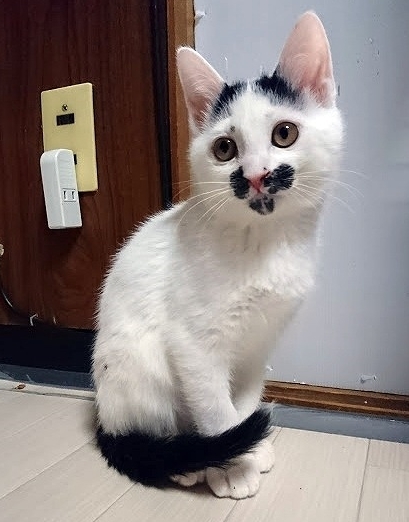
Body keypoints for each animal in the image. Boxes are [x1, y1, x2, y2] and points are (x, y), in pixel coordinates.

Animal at [92, 11, 343, 499]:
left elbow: (242, 404)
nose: (257, 175)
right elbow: (215, 411)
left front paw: (250, 449)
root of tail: (104, 416)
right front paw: (234, 468)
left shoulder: (258, 344)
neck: (264, 244)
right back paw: (187, 464)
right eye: (224, 148)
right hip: (140, 367)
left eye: (284, 134)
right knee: (155, 429)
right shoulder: (193, 345)